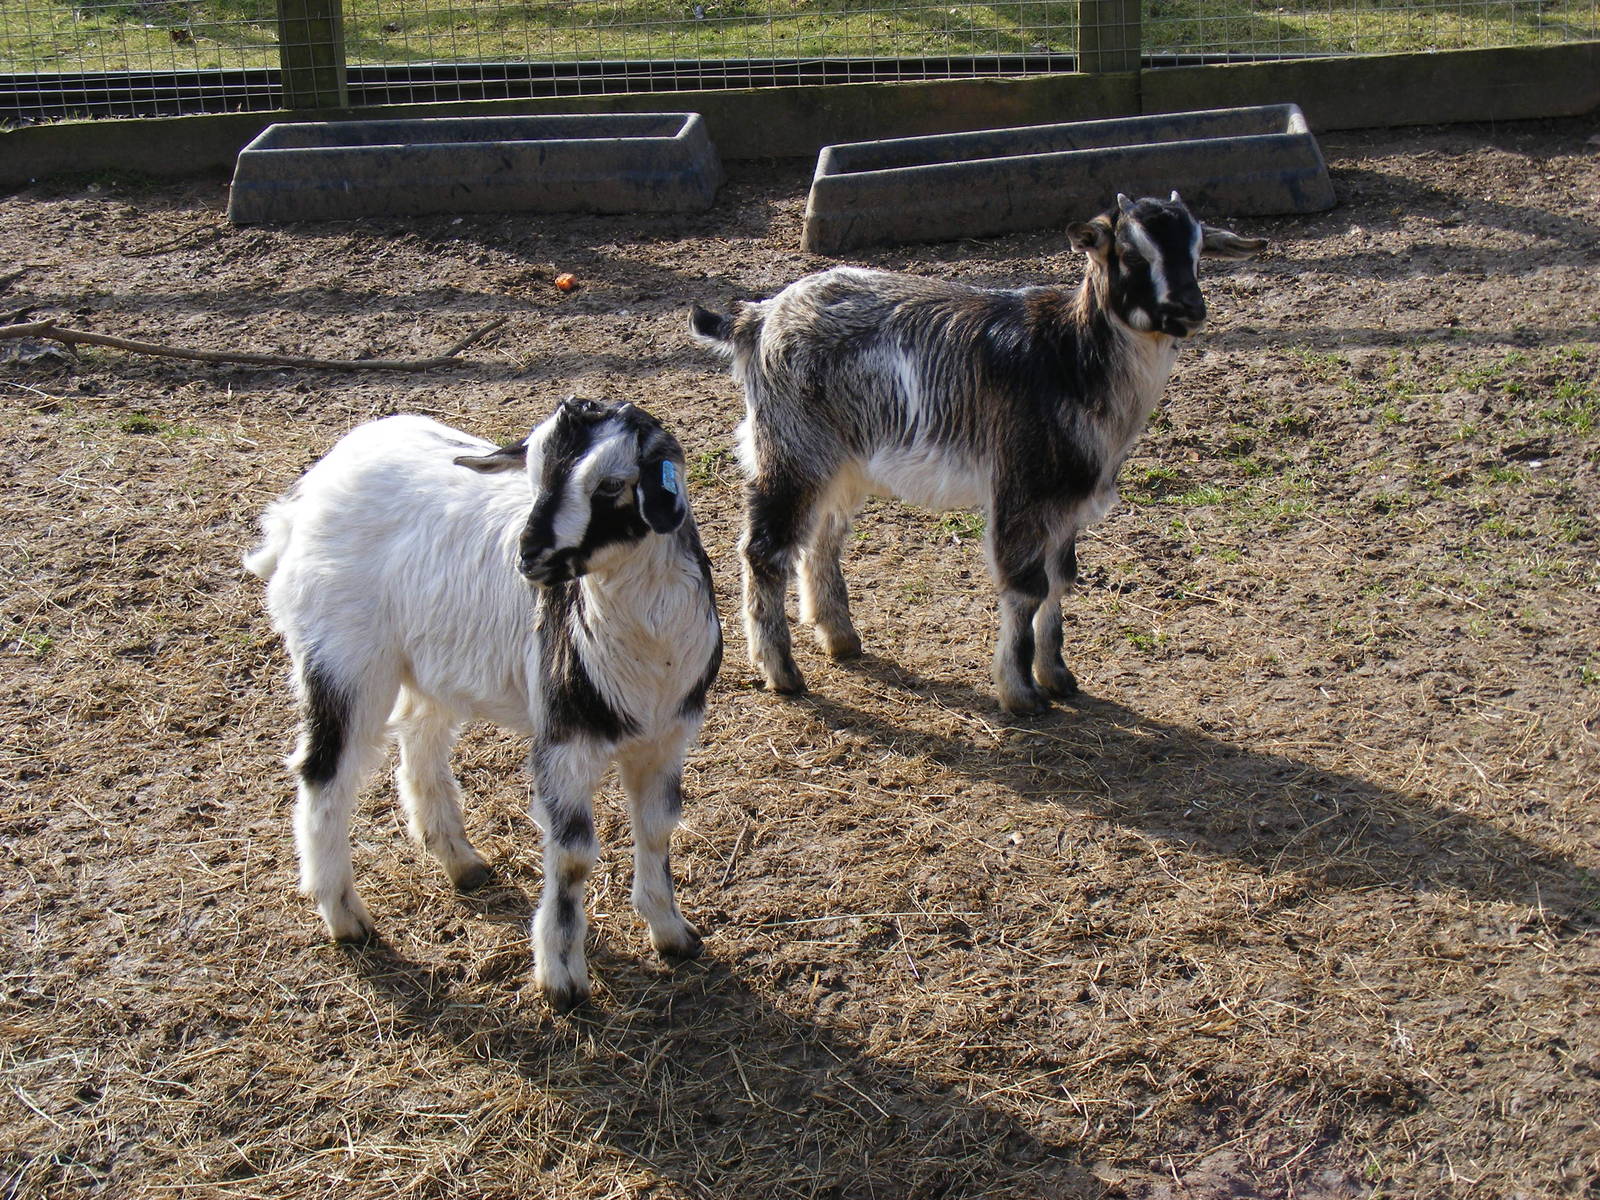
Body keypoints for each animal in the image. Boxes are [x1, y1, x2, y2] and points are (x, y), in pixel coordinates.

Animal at [246, 397, 723, 1011]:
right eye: (533, 474)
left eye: (612, 484)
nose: (530, 556)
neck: (649, 648)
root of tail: (310, 491)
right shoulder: (563, 742)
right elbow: (573, 854)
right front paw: (562, 979)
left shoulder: (667, 735)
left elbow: (658, 827)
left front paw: (672, 933)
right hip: (341, 657)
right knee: (324, 774)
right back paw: (346, 916)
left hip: (429, 662)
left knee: (419, 738)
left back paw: (459, 861)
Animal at [691, 192, 1265, 714]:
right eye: (1130, 253)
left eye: (1198, 250)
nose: (1189, 309)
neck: (1072, 355)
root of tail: (757, 317)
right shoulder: (1021, 484)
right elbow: (1027, 586)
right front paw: (1021, 693)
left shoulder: (1067, 500)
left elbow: (1061, 580)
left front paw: (1058, 676)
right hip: (791, 447)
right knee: (764, 549)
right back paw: (782, 672)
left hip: (843, 461)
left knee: (823, 538)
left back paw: (841, 640)